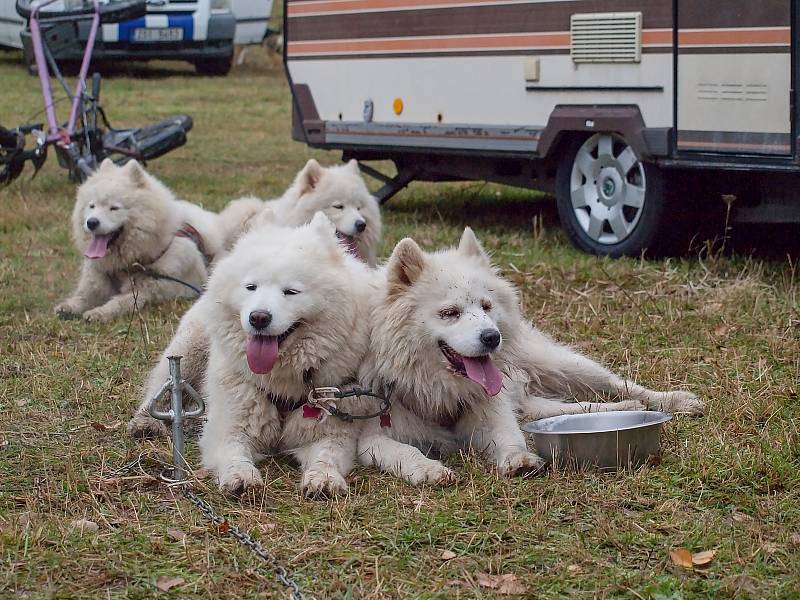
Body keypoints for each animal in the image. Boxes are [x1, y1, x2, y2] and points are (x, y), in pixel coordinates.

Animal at [54, 157, 222, 322]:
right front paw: (68, 307)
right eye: (92, 206)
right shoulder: (97, 280)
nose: (91, 222)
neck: (124, 266)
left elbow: (120, 302)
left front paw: (99, 312)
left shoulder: (151, 289)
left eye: (114, 208)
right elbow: (83, 297)